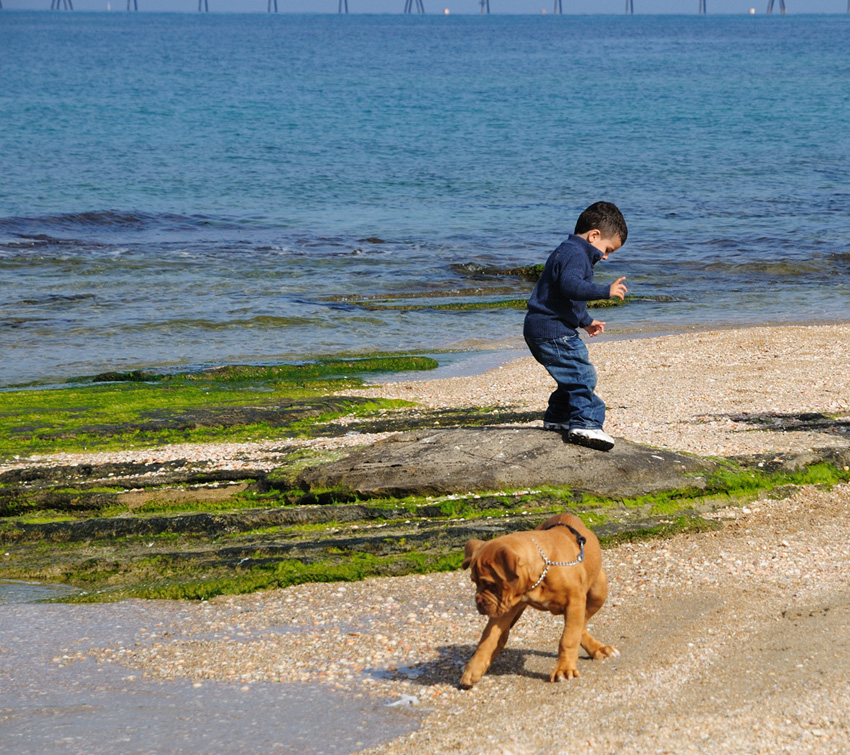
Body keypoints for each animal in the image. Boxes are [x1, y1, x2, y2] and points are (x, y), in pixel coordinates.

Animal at [458, 510, 616, 688]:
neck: (541, 572)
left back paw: (597, 648)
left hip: (598, 591)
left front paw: (564, 669)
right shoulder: (506, 609)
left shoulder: (575, 601)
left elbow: (568, 638)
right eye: (474, 581)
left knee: (580, 625)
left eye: (490, 584)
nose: (478, 601)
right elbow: (488, 638)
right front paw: (473, 669)